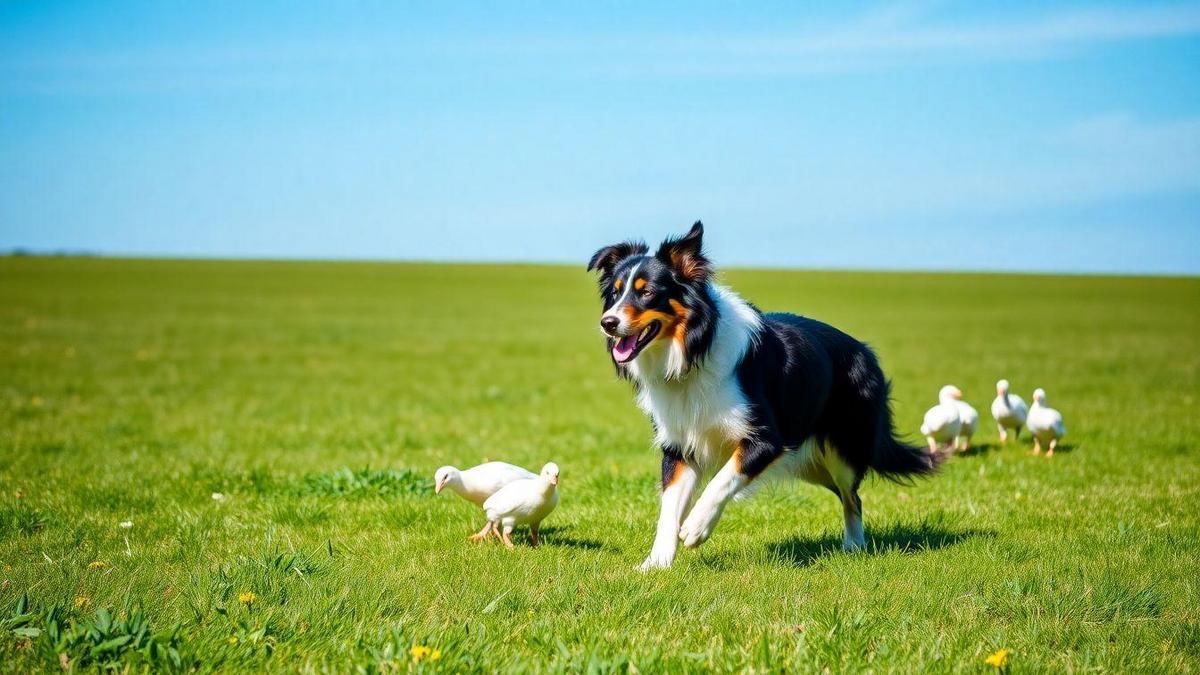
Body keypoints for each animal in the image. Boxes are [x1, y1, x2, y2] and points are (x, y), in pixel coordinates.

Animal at [585, 222, 940, 566]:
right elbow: (668, 510)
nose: (607, 322)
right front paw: (656, 565)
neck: (693, 351)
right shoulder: (680, 444)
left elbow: (722, 480)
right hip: (810, 462)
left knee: (853, 497)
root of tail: (867, 353)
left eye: (647, 293)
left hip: (841, 451)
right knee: (845, 494)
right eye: (615, 293)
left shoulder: (767, 439)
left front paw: (697, 527)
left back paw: (854, 547)